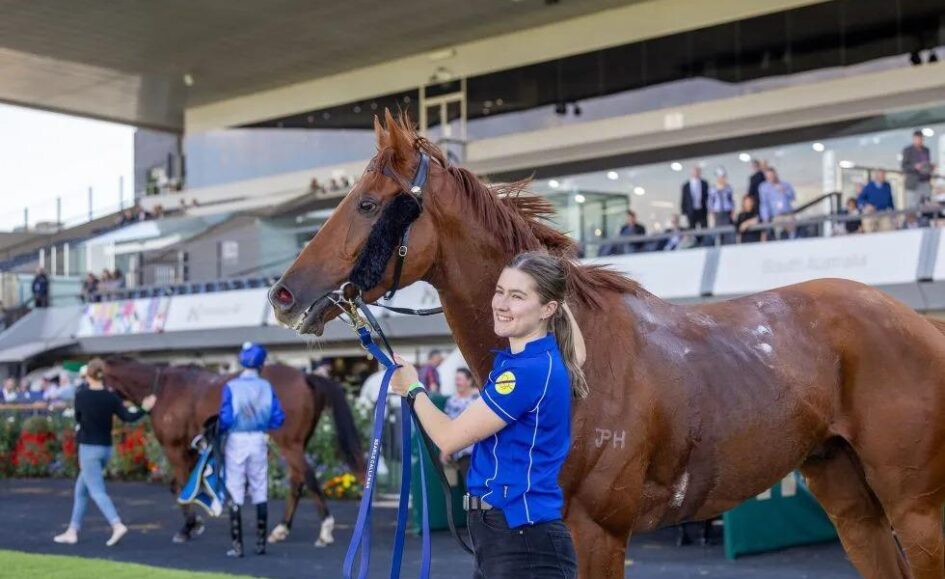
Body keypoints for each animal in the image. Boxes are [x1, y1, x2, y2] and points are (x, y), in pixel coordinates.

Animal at [103, 357, 365, 547]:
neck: (163, 389)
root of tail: (305, 376)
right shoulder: (191, 449)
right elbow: (186, 486)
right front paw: (196, 521)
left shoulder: (174, 447)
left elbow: (179, 487)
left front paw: (188, 528)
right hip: (299, 442)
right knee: (297, 481)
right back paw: (281, 529)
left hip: (289, 443)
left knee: (308, 478)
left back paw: (325, 530)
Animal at [266, 111, 945, 579]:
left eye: (367, 204)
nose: (282, 295)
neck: (579, 353)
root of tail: (920, 324)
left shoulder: (598, 533)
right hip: (849, 497)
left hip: (915, 509)